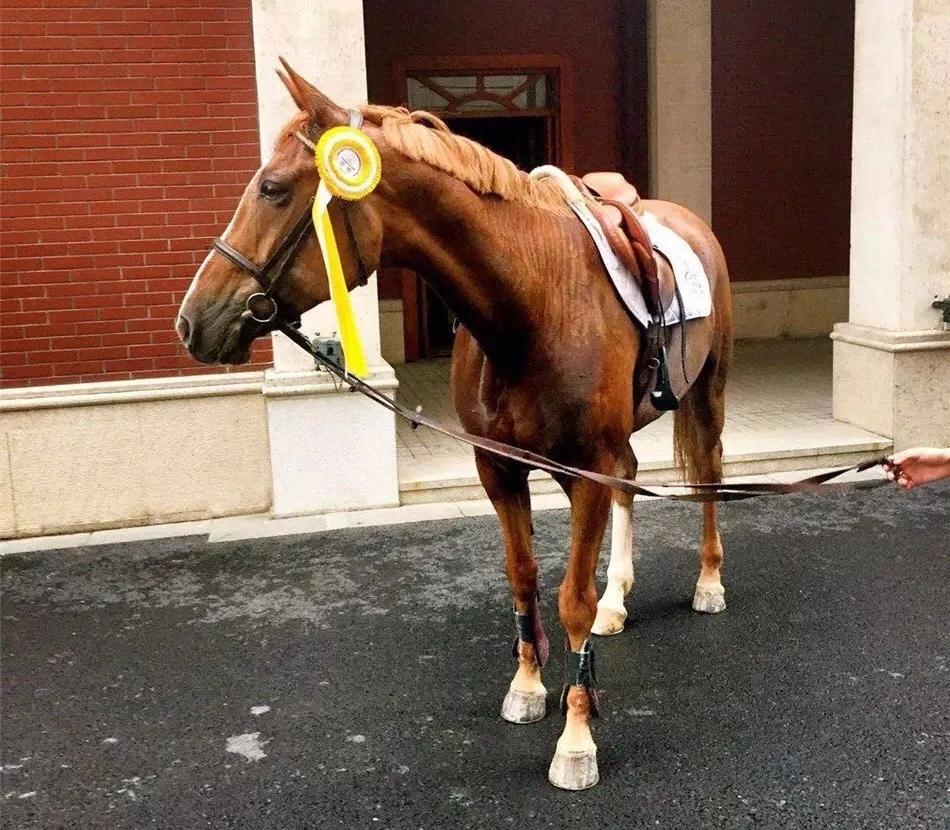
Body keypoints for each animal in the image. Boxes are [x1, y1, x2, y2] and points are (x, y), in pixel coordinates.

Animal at [176, 61, 732, 790]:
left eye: (272, 189)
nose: (193, 321)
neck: (534, 303)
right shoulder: (499, 467)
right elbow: (523, 576)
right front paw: (528, 686)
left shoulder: (584, 468)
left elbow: (570, 600)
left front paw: (576, 741)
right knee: (632, 484)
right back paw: (619, 598)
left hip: (706, 395)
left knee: (708, 475)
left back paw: (708, 583)